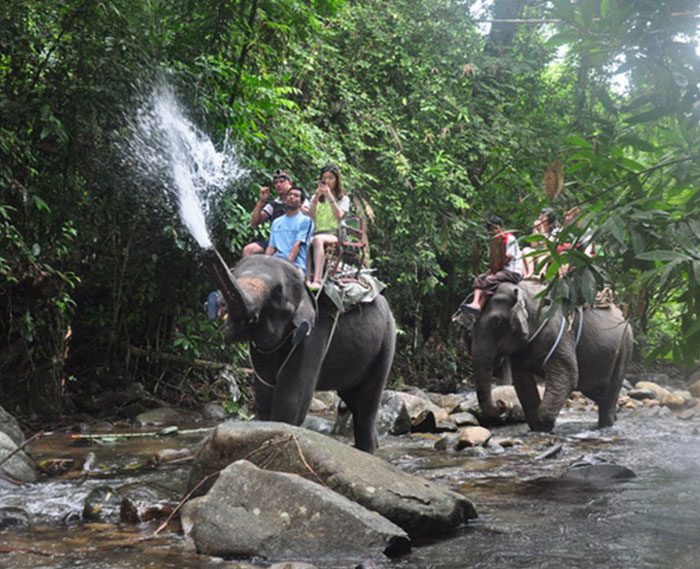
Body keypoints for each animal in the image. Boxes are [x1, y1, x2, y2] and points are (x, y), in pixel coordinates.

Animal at [205, 248, 396, 452]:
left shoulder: (314, 333)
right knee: (352, 399)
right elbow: (264, 397)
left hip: (386, 341)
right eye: (234, 275)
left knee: (366, 405)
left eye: (278, 294)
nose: (208, 250)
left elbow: (291, 403)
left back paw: (367, 449)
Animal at [470, 280, 636, 430]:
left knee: (610, 388)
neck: (524, 292)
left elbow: (567, 375)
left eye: (496, 323)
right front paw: (538, 427)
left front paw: (545, 425)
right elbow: (522, 380)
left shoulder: (559, 333)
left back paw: (606, 424)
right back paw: (614, 417)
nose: (501, 403)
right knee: (594, 390)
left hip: (625, 344)